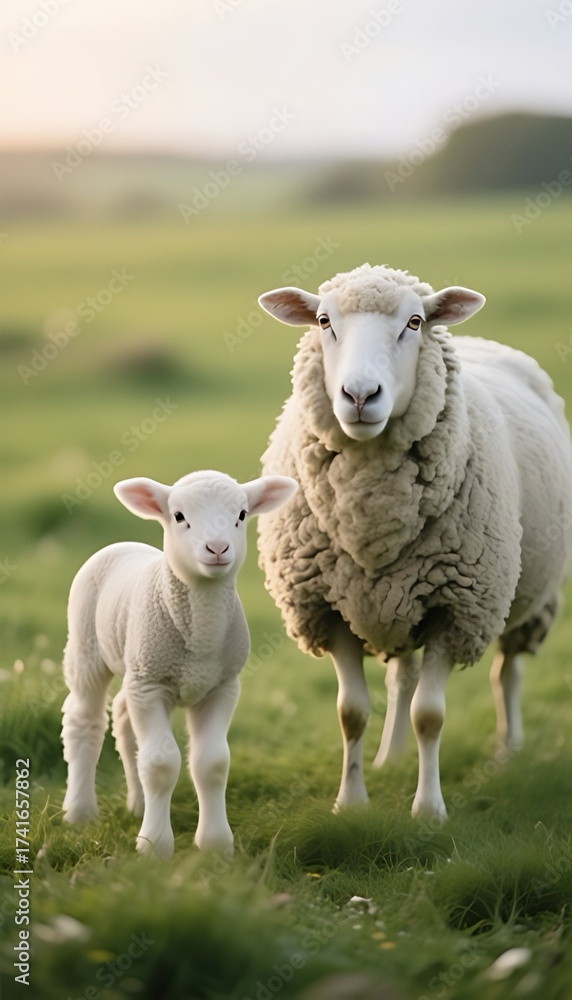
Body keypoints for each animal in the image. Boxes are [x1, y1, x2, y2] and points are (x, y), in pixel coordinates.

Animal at [61, 469, 297, 858]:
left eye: (242, 515)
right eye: (179, 516)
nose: (217, 548)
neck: (200, 639)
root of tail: (123, 544)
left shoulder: (220, 686)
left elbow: (212, 763)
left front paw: (215, 844)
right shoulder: (152, 685)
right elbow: (161, 764)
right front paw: (154, 846)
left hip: (136, 665)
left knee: (124, 720)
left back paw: (138, 806)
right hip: (88, 649)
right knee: (85, 722)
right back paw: (79, 812)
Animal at [257, 263, 572, 821]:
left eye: (415, 322)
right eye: (323, 320)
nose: (360, 396)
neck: (371, 514)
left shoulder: (457, 607)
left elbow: (430, 714)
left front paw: (429, 810)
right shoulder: (327, 607)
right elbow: (352, 712)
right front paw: (351, 804)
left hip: (522, 598)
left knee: (506, 673)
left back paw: (508, 752)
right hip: (395, 600)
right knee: (401, 677)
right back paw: (392, 757)